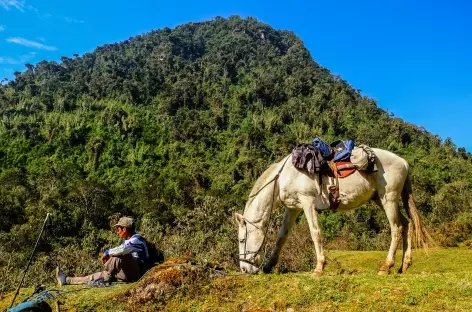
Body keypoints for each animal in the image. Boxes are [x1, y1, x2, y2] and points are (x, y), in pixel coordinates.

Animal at [234, 149, 430, 276]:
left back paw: (386, 266)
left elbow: (315, 233)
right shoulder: (293, 207)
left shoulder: (307, 202)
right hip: (381, 200)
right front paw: (269, 266)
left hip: (388, 199)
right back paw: (404, 266)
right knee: (407, 224)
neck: (283, 177)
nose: (244, 269)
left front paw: (319, 267)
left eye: (242, 240)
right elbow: (282, 237)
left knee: (396, 228)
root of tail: (403, 162)